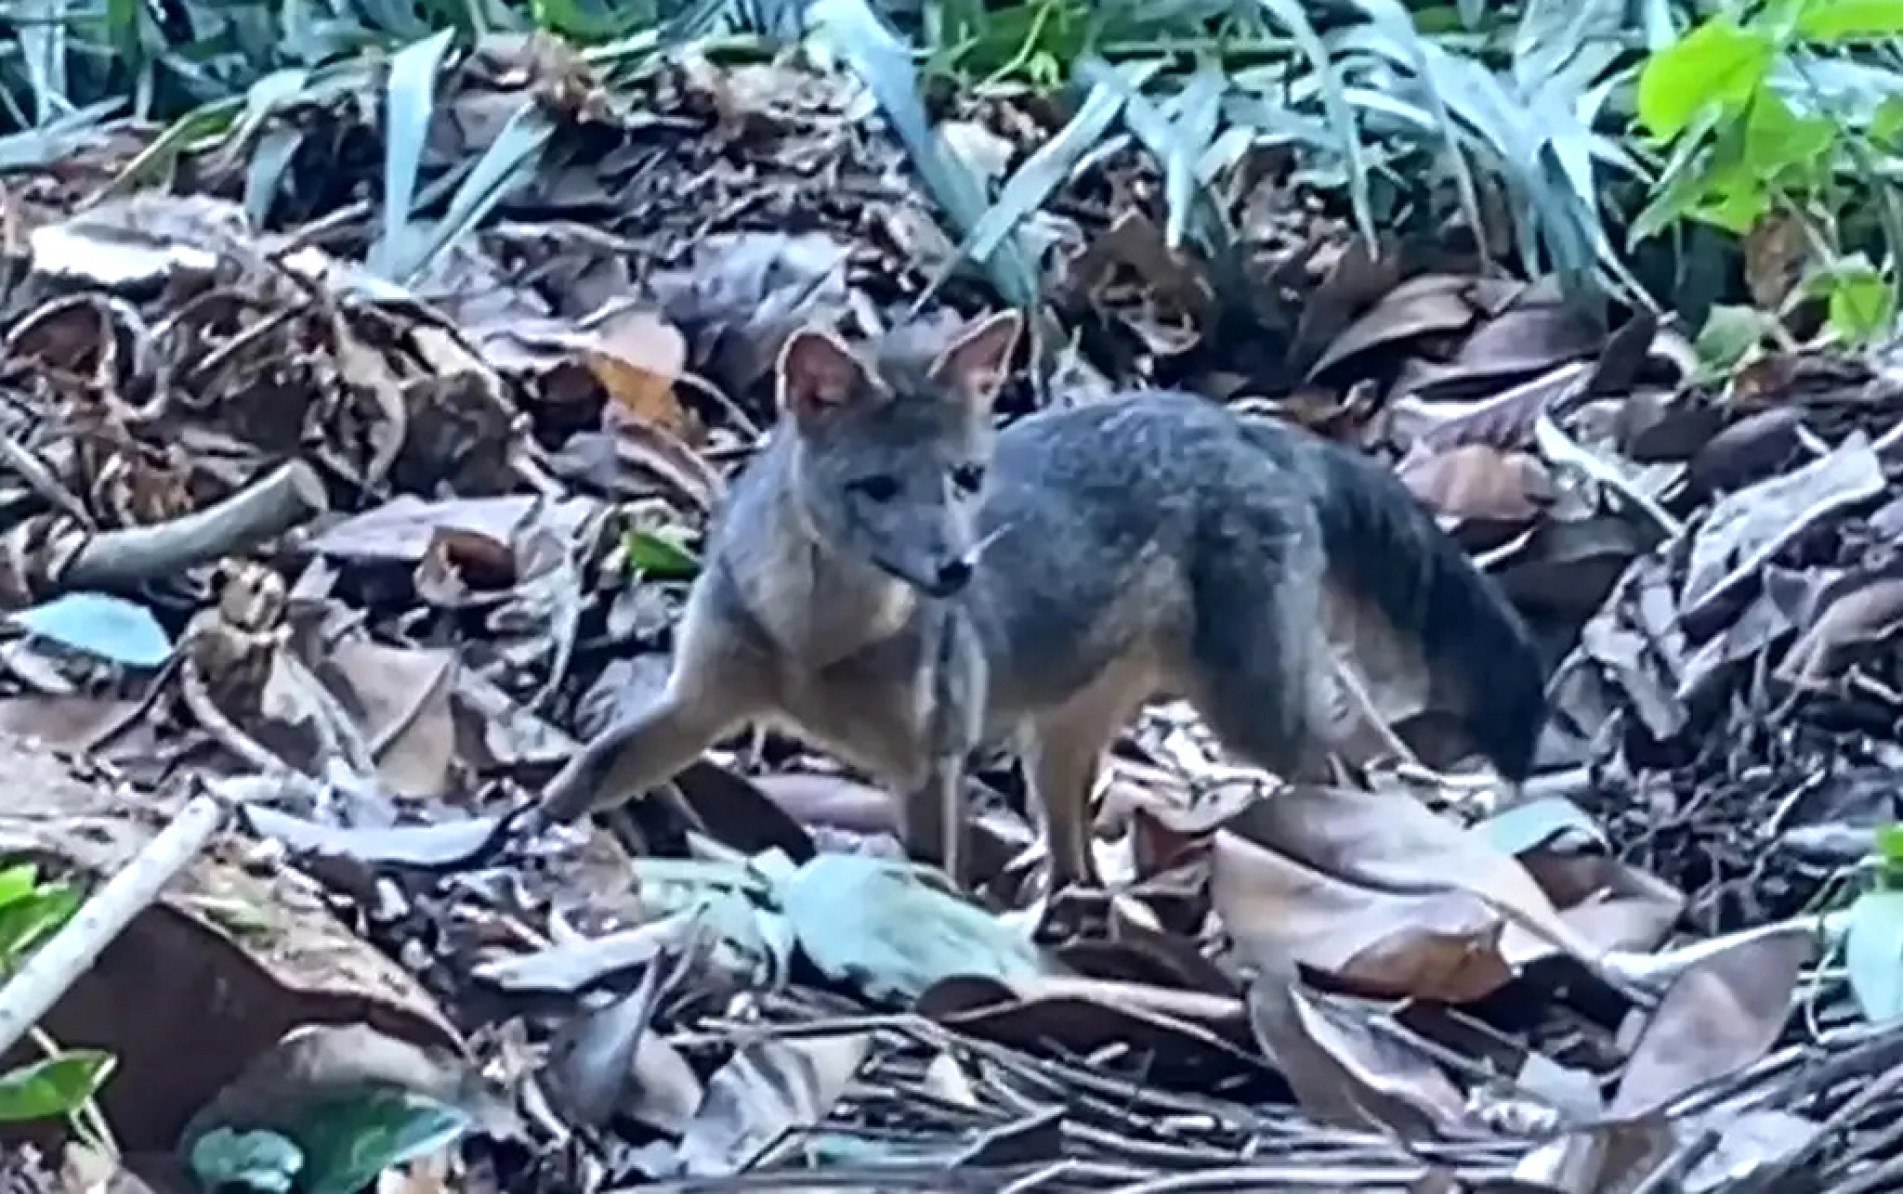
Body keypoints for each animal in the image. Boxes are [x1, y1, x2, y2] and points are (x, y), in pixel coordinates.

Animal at [521, 310, 1545, 914]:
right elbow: (589, 771)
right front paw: (525, 833)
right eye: (878, 488)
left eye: (968, 479)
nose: (955, 569)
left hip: (1253, 716)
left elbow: (931, 871)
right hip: (1059, 744)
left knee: (1353, 778)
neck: (817, 643)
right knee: (1076, 853)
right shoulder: (698, 704)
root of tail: (1247, 424)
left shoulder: (929, 756)